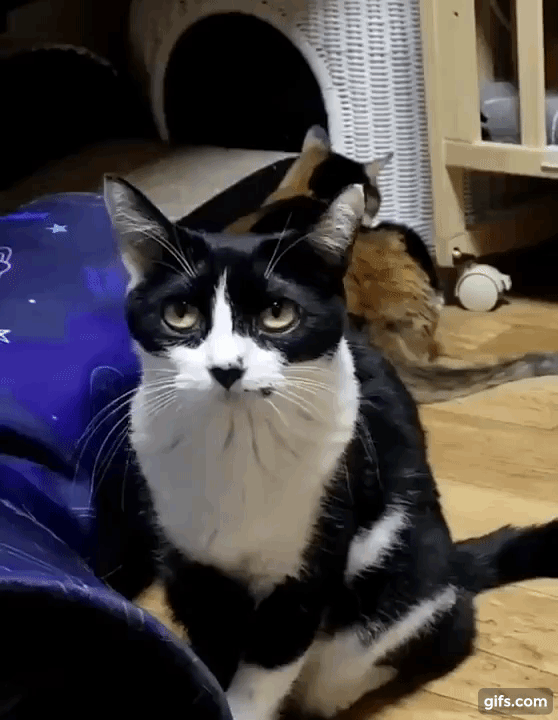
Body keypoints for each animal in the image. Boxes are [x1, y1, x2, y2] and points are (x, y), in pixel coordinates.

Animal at [104, 174, 558, 720]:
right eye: (180, 313)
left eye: (278, 314)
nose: (226, 368)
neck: (235, 444)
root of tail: (452, 559)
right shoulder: (193, 564)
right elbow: (213, 646)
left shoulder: (315, 548)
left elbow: (269, 663)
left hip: (400, 592)